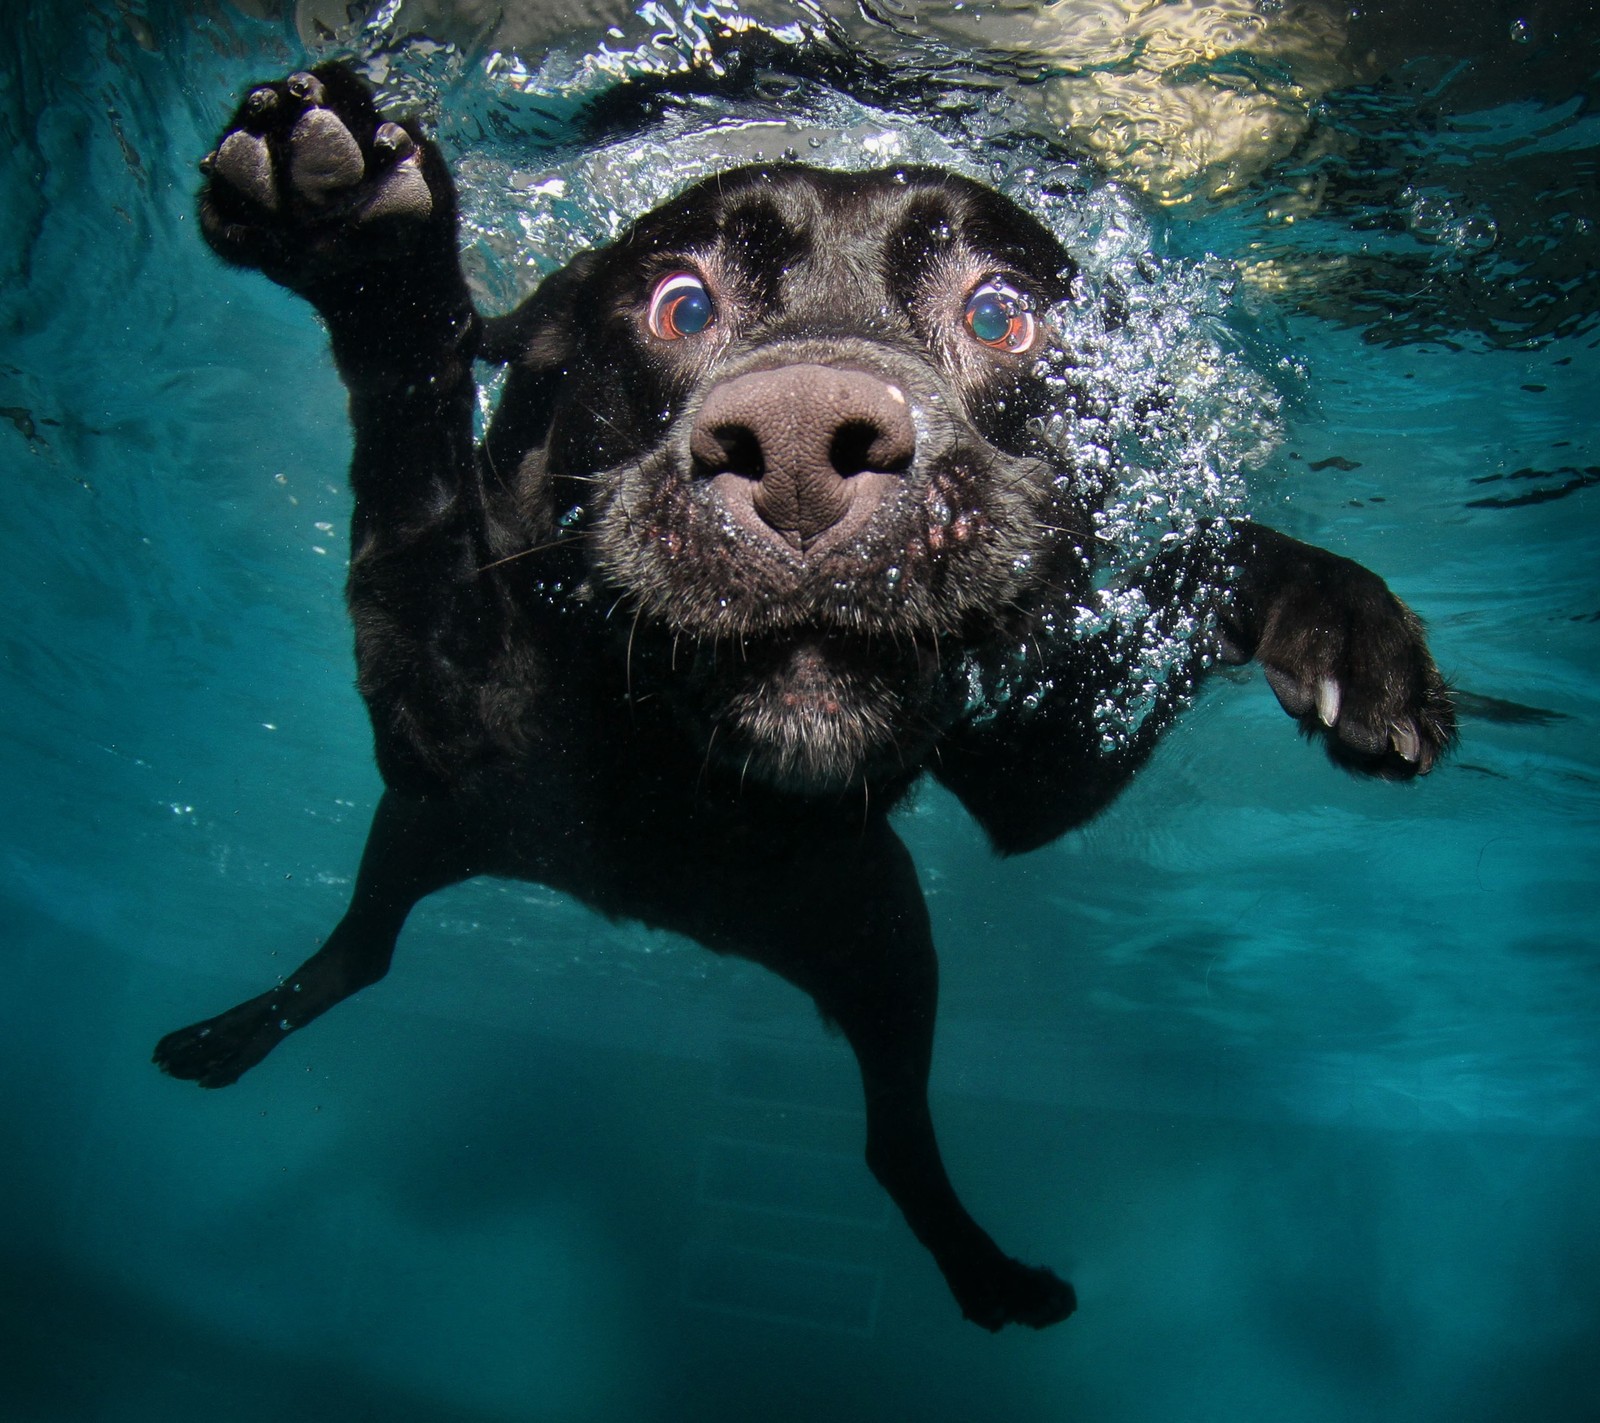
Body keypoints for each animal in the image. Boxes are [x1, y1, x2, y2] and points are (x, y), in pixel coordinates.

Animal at [156, 66, 1459, 1331]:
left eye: (1000, 313)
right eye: (680, 306)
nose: (794, 446)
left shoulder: (1036, 766)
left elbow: (1202, 557)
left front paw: (1341, 620)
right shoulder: (439, 715)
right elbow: (413, 468)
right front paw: (362, 241)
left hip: (881, 939)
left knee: (891, 1140)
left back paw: (988, 1273)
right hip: (432, 829)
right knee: (363, 951)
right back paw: (230, 1035)